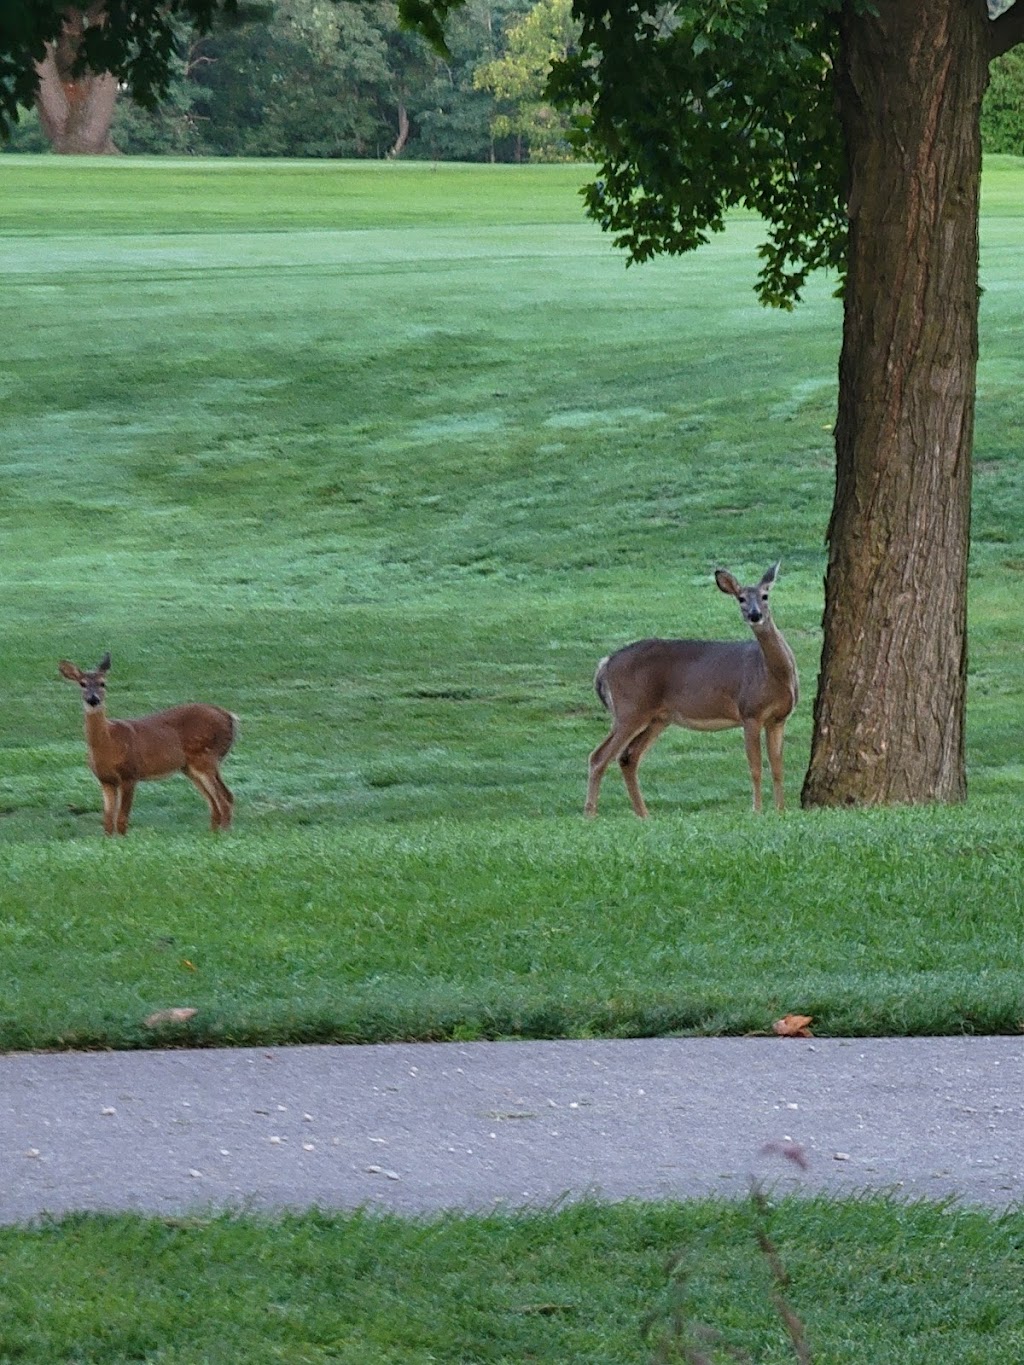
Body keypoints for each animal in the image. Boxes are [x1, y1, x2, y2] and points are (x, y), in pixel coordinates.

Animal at [58, 649, 240, 829]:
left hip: (206, 756)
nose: (93, 699)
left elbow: (121, 820)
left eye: (103, 683)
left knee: (225, 798)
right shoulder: (106, 780)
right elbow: (108, 821)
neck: (109, 743)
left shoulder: (130, 773)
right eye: (82, 684)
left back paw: (224, 832)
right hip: (189, 767)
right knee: (215, 803)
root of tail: (229, 716)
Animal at [584, 559, 802, 813]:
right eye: (741, 598)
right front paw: (756, 811)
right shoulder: (750, 712)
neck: (772, 675)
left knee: (628, 757)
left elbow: (777, 768)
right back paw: (590, 814)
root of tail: (606, 663)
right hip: (630, 708)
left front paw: (780, 810)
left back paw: (644, 815)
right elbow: (755, 768)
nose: (754, 615)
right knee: (599, 756)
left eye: (765, 595)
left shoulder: (778, 719)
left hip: (658, 718)